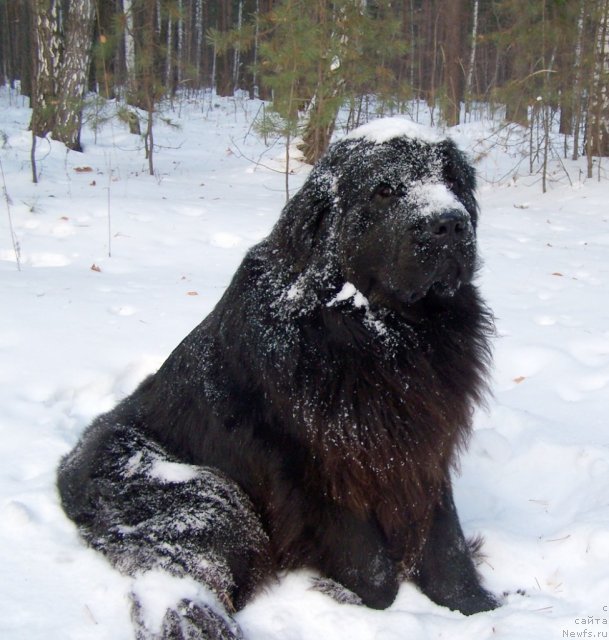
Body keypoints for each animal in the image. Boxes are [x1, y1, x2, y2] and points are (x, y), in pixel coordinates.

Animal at [57, 117, 496, 636]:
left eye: (452, 182)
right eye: (385, 190)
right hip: (207, 494)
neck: (382, 334)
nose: (449, 223)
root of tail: (67, 469)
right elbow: (372, 569)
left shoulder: (422, 446)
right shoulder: (316, 466)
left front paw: (475, 605)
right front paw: (355, 597)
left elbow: (444, 537)